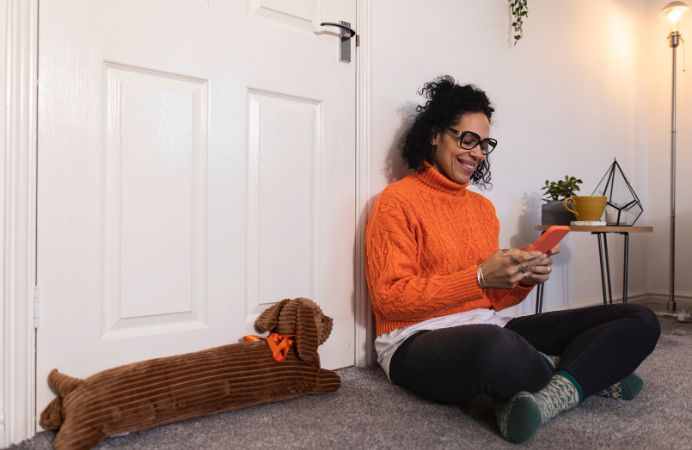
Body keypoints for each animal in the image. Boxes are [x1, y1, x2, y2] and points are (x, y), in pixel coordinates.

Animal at [38, 298, 340, 448]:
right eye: (321, 317)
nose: (334, 319)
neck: (286, 341)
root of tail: (74, 387)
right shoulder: (309, 378)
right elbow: (327, 379)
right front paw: (337, 379)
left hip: (69, 406)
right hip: (86, 422)